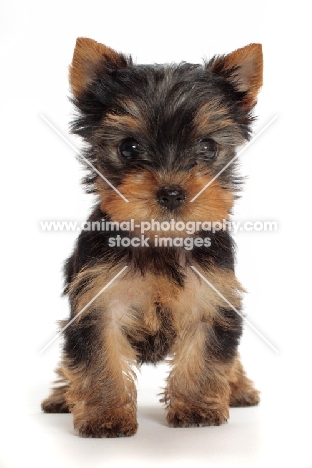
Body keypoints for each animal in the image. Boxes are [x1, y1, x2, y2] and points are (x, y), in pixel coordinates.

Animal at [41, 38, 260, 436]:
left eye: (208, 147)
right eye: (129, 147)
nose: (172, 193)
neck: (160, 240)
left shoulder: (212, 298)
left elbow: (206, 355)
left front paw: (197, 409)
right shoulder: (98, 302)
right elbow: (98, 360)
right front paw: (105, 416)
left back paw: (238, 388)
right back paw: (63, 396)